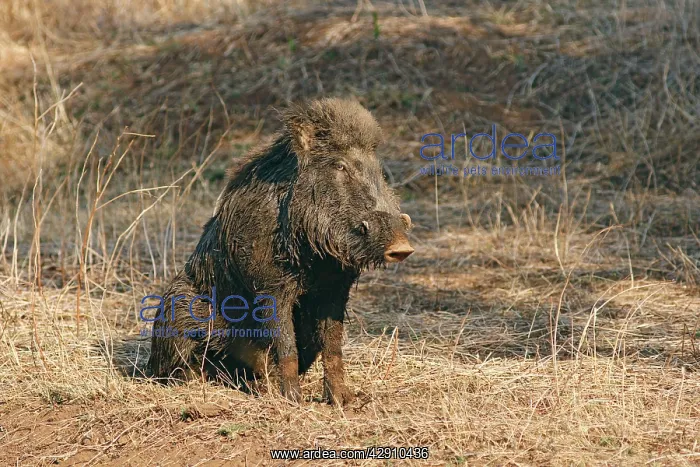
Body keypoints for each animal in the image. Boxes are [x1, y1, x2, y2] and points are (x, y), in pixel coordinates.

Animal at [147, 98, 414, 405]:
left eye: (378, 169)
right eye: (340, 165)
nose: (402, 247)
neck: (315, 259)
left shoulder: (336, 288)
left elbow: (333, 345)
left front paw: (344, 400)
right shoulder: (270, 285)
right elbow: (285, 343)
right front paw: (294, 401)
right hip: (174, 309)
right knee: (178, 367)